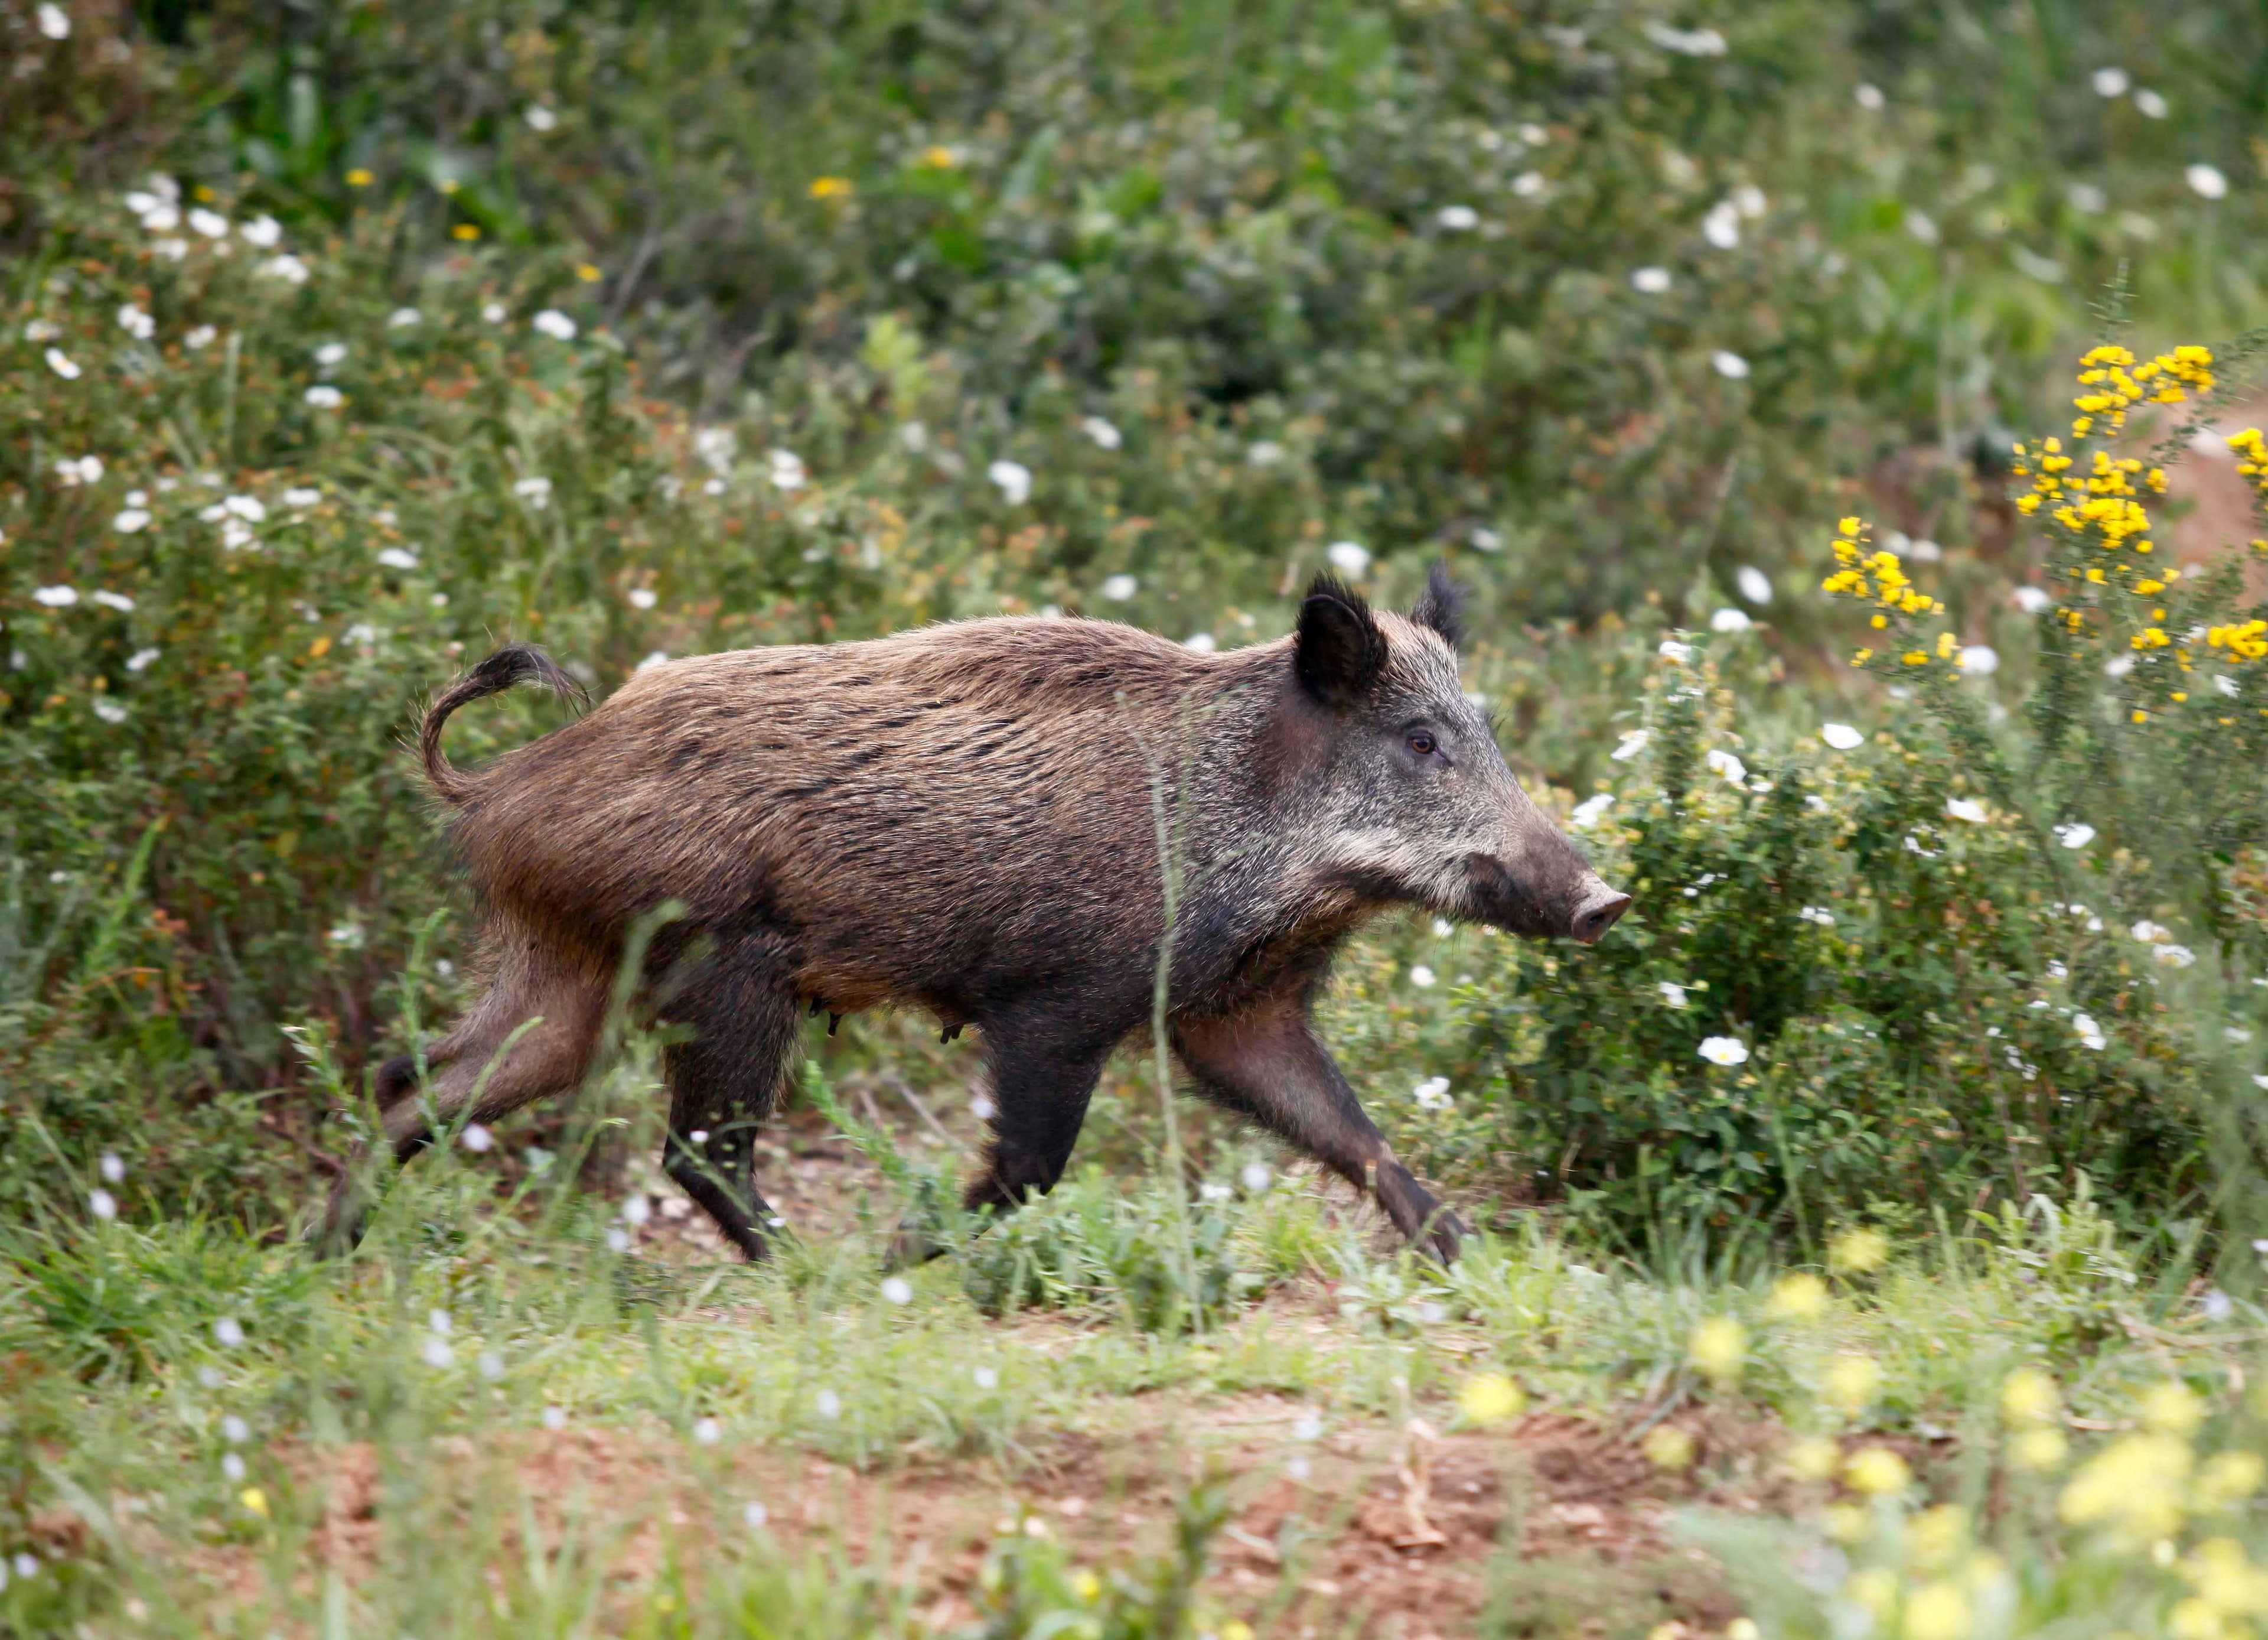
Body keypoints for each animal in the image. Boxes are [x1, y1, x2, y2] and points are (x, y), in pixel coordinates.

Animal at [318, 568, 1628, 1260]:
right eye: (1420, 740)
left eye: (1484, 728)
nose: (1606, 898)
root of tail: (501, 786)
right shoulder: (1056, 1001)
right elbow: (1030, 1165)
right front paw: (915, 1256)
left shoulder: (1235, 1009)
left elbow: (1354, 1134)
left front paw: (1472, 1260)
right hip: (725, 968)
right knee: (694, 1147)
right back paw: (815, 1273)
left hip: (574, 978)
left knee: (419, 1083)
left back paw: (327, 1250)